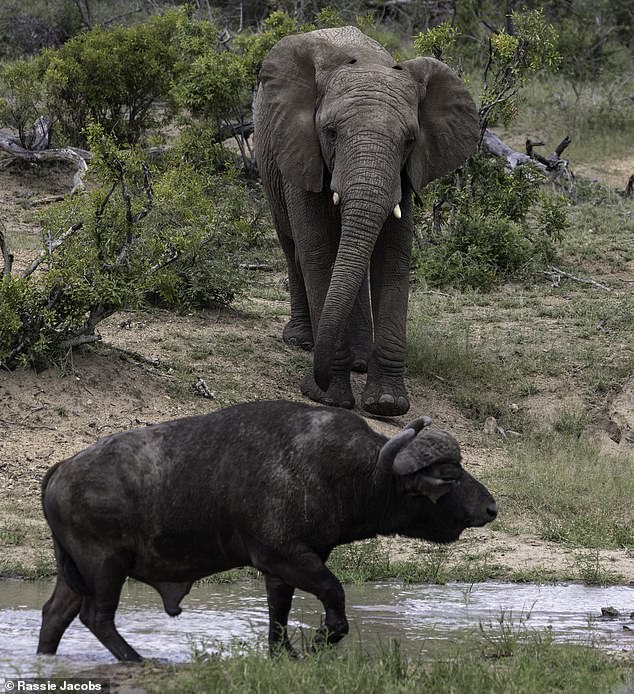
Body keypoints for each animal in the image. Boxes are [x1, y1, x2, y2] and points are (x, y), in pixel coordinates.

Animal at [254, 25, 476, 418]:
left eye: (409, 141)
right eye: (330, 132)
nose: (316, 379)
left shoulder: (406, 174)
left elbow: (392, 259)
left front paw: (386, 404)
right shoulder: (304, 151)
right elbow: (318, 253)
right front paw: (327, 397)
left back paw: (358, 360)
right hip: (271, 163)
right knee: (291, 245)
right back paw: (301, 341)